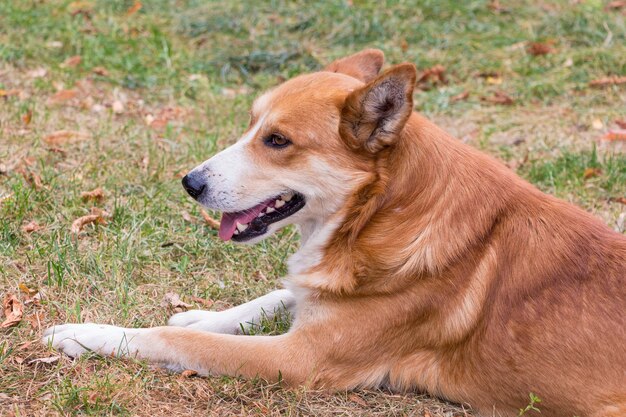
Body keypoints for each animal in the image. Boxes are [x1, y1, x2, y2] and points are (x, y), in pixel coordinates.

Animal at [44, 49, 624, 416]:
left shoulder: (298, 361)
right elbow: (275, 293)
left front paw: (87, 334)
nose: (190, 183)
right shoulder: (313, 294)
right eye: (252, 125)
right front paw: (203, 314)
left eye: (278, 141)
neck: (377, 214)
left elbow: (178, 341)